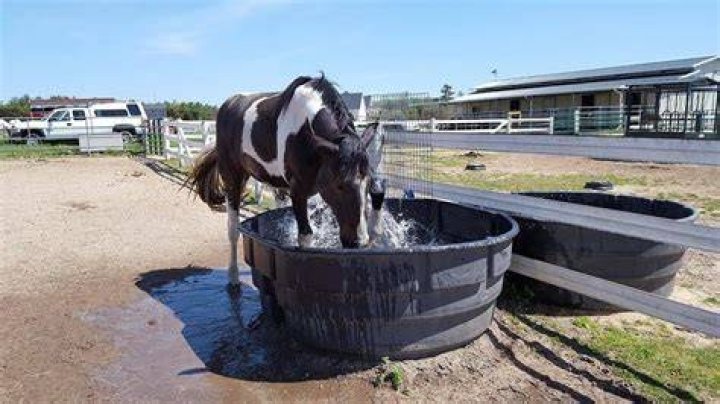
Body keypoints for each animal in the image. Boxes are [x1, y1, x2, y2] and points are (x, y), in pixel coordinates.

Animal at [187, 75, 381, 286]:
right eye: (340, 185)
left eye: (368, 184)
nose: (359, 242)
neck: (306, 132)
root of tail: (227, 105)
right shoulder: (298, 191)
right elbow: (306, 238)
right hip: (233, 176)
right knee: (233, 228)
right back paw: (233, 275)